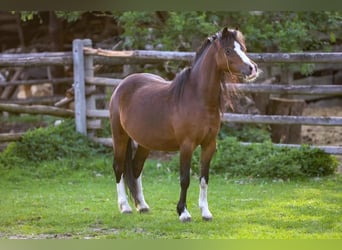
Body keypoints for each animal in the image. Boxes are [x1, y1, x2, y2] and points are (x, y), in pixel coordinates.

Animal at [109, 27, 256, 223]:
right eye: (228, 50)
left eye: (243, 48)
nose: (252, 69)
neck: (197, 98)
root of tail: (122, 85)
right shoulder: (186, 145)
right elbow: (185, 179)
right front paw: (183, 212)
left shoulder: (209, 145)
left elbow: (204, 179)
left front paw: (206, 212)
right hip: (120, 136)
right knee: (118, 167)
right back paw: (125, 206)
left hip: (144, 142)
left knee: (136, 168)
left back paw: (142, 205)